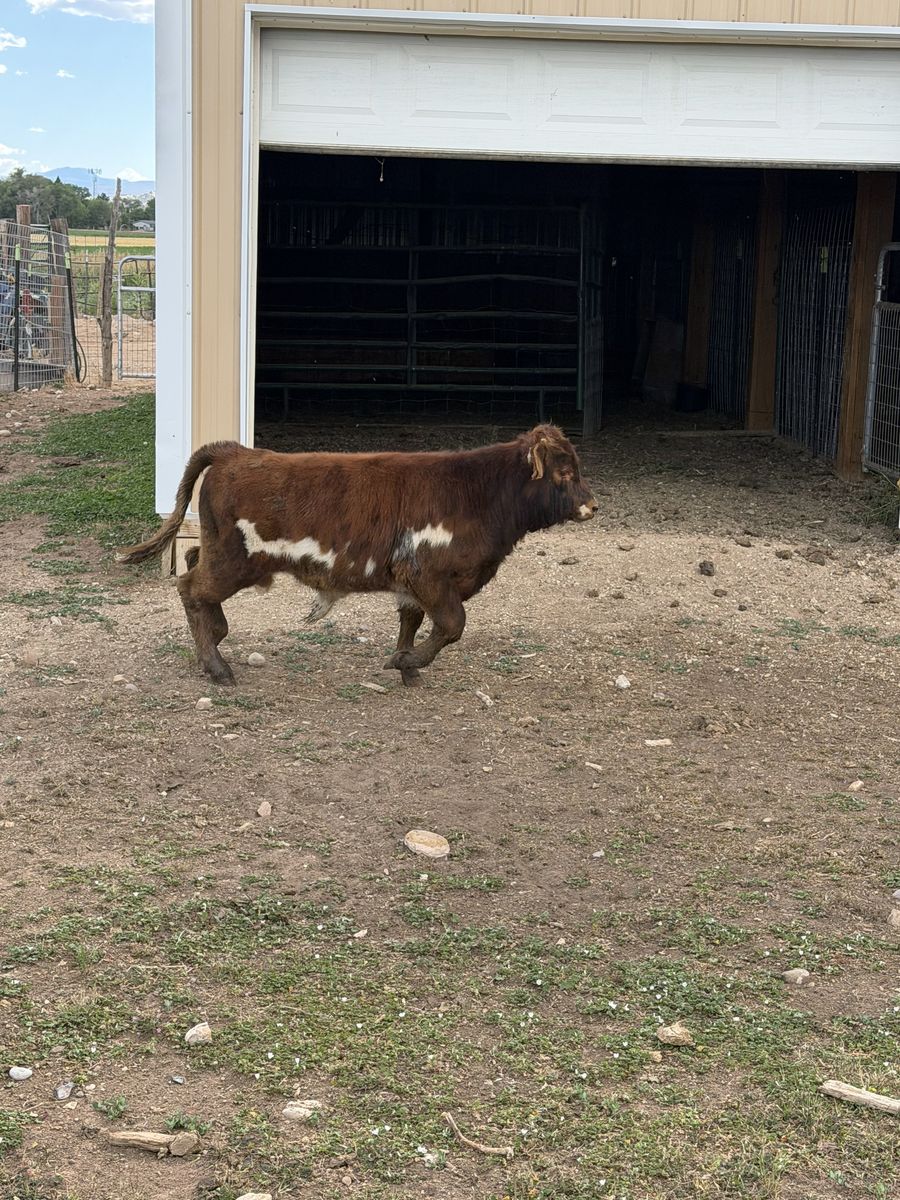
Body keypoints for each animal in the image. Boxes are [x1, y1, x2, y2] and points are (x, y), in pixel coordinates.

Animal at [117, 424, 598, 687]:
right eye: (565, 472)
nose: (593, 505)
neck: (478, 493)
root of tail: (236, 451)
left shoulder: (412, 584)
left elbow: (412, 622)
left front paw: (406, 667)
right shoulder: (430, 576)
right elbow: (452, 625)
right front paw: (408, 661)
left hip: (222, 550)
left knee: (193, 562)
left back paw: (216, 639)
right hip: (235, 559)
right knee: (191, 586)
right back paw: (216, 666)